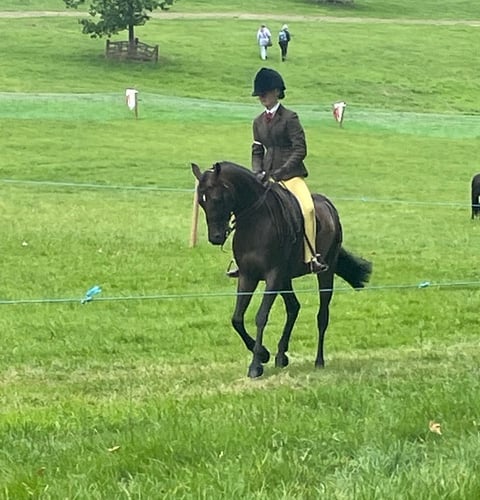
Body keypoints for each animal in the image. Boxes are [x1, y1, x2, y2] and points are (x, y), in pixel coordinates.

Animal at [191, 162, 372, 376]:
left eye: (217, 199)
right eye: (201, 202)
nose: (216, 237)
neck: (256, 222)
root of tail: (329, 206)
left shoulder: (273, 276)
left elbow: (261, 316)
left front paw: (256, 365)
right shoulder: (248, 276)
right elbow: (237, 318)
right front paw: (263, 354)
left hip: (324, 273)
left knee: (322, 316)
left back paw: (319, 361)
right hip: (285, 279)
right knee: (294, 307)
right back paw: (280, 355)